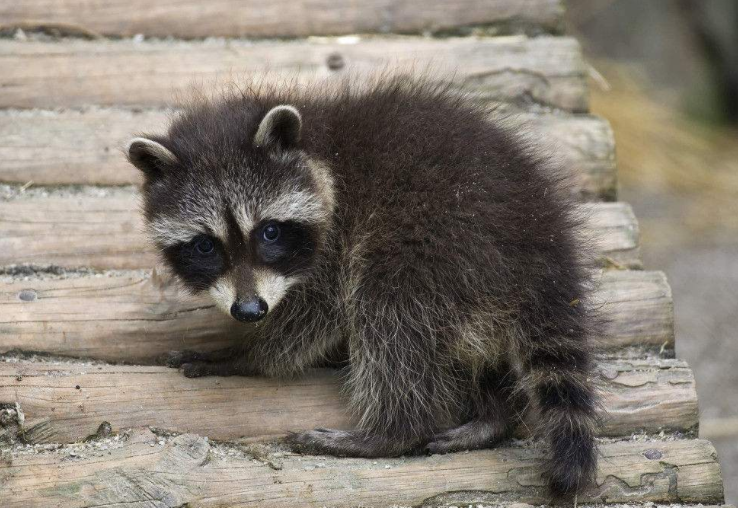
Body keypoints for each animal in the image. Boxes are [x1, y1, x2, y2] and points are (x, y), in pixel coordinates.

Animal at [126, 75, 600, 496]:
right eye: (205, 245)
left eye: (270, 232)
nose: (249, 311)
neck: (319, 150)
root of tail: (540, 246)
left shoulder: (338, 238)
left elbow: (315, 317)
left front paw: (243, 357)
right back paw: (492, 415)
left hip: (436, 239)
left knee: (389, 311)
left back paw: (389, 433)